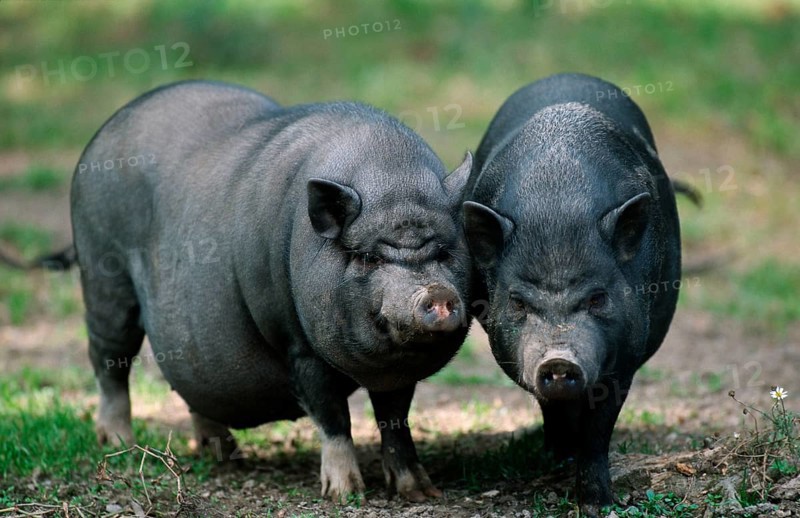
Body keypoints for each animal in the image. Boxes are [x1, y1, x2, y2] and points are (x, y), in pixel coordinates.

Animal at [68, 80, 473, 502]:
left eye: (444, 251)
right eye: (368, 257)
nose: (436, 293)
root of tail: (104, 133)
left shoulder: (397, 374)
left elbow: (395, 419)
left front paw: (420, 492)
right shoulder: (297, 343)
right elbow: (333, 417)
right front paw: (343, 493)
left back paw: (222, 454)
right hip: (104, 277)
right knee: (109, 360)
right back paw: (118, 443)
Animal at [463, 73, 681, 515]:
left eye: (597, 298)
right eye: (518, 302)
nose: (558, 359)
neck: (557, 207)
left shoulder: (624, 357)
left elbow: (600, 428)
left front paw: (598, 503)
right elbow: (555, 408)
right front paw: (559, 458)